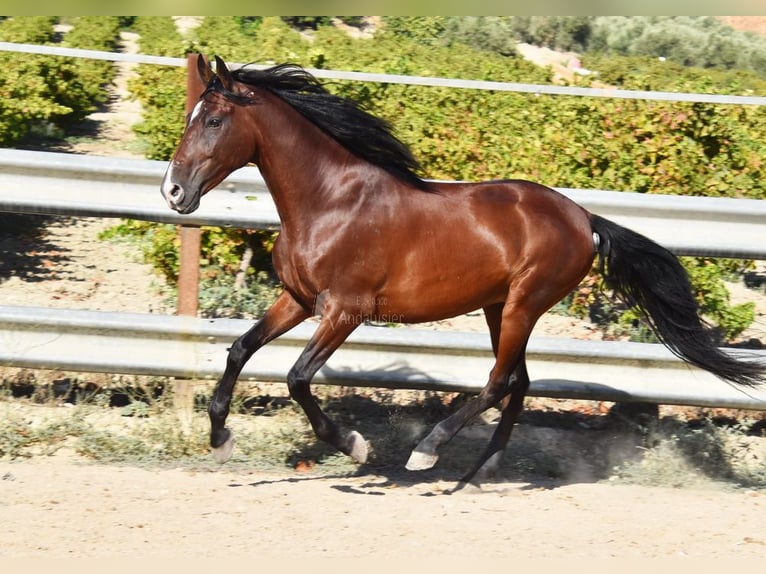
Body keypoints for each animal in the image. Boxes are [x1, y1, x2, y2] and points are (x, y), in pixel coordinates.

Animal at [160, 55, 760, 486]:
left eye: (213, 120)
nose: (173, 191)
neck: (330, 201)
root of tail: (583, 218)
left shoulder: (345, 311)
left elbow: (298, 377)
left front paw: (356, 445)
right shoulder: (299, 300)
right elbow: (239, 350)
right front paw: (221, 439)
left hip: (524, 304)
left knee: (498, 381)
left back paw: (428, 452)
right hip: (499, 308)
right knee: (519, 381)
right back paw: (480, 471)